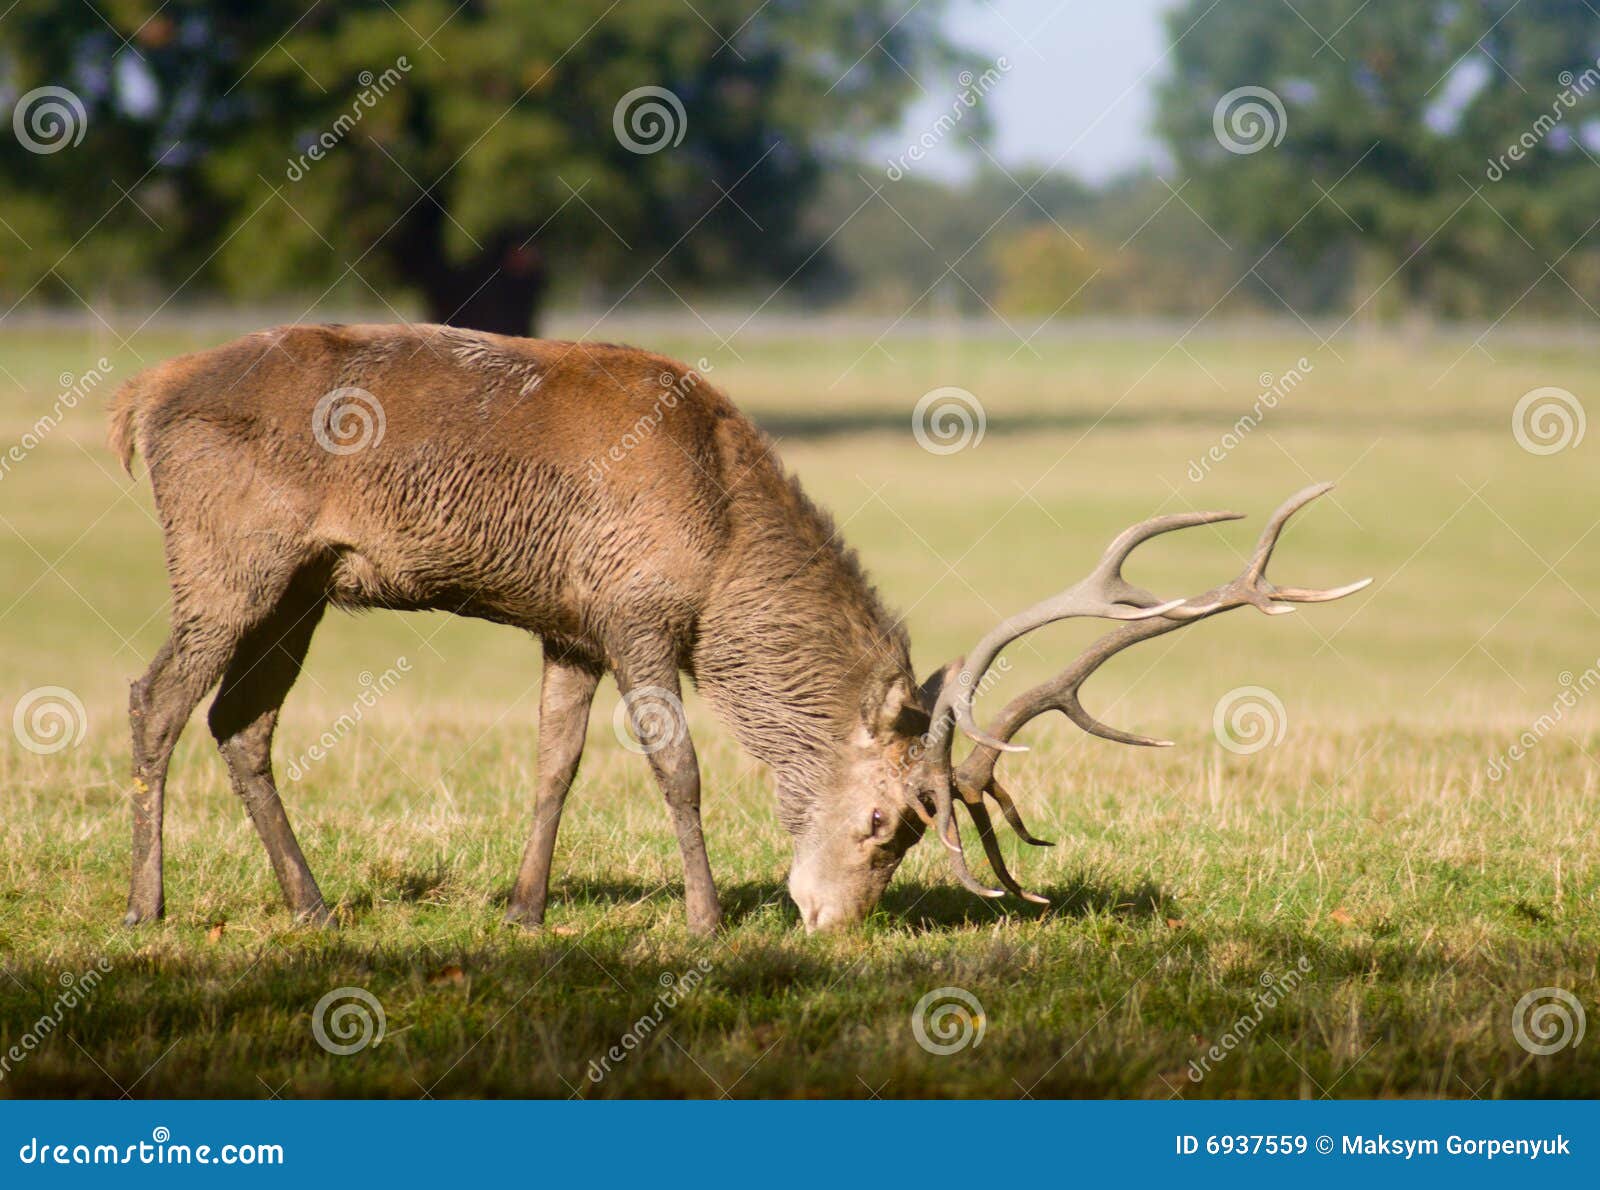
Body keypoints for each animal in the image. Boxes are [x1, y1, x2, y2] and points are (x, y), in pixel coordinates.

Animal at [107, 322, 1368, 934]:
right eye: (885, 821)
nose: (833, 922)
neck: (719, 538)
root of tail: (140, 396)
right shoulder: (634, 609)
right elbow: (676, 766)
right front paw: (708, 917)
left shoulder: (569, 625)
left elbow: (553, 762)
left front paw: (526, 908)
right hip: (228, 555)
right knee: (155, 697)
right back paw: (147, 905)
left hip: (307, 581)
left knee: (242, 721)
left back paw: (315, 905)